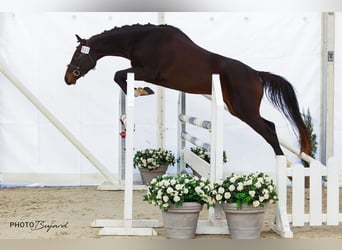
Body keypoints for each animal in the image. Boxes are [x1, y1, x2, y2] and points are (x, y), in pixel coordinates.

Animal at [65, 23, 312, 156]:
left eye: (77, 55)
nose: (67, 79)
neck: (141, 40)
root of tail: (257, 74)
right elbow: (120, 77)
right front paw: (142, 91)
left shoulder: (149, 71)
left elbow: (118, 75)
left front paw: (140, 91)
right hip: (237, 109)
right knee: (270, 126)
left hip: (246, 111)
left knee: (269, 131)